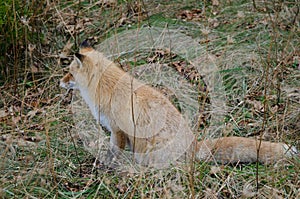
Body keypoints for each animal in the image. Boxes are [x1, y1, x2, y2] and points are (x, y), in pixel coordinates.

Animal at [59, 41, 296, 169]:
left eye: (70, 72)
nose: (59, 82)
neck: (105, 86)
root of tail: (193, 145)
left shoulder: (117, 130)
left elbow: (112, 152)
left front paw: (105, 167)